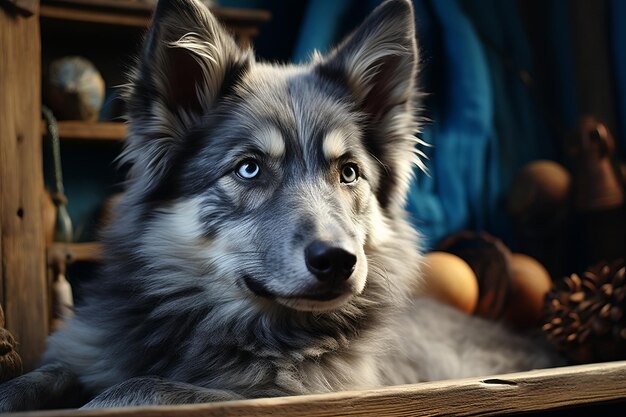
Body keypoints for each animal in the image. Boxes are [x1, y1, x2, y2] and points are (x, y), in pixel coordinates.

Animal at [0, 0, 556, 410]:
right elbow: (44, 375)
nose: (338, 261)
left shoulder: (292, 394)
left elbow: (138, 388)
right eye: (249, 169)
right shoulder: (79, 351)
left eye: (348, 172)